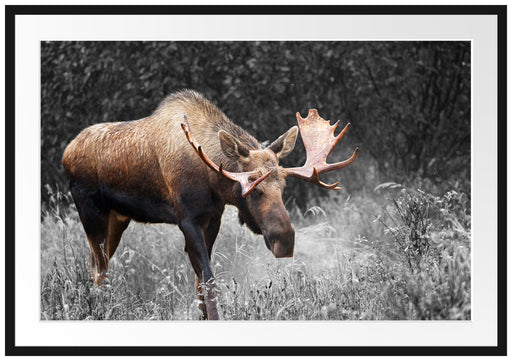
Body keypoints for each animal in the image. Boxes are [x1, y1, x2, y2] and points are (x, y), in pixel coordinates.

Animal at [62, 89, 358, 318]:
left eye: (283, 187)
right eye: (253, 189)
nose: (284, 240)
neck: (213, 182)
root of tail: (66, 152)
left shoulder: (213, 218)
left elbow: (199, 283)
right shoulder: (187, 220)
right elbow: (209, 279)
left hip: (118, 217)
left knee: (97, 264)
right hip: (91, 211)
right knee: (99, 269)